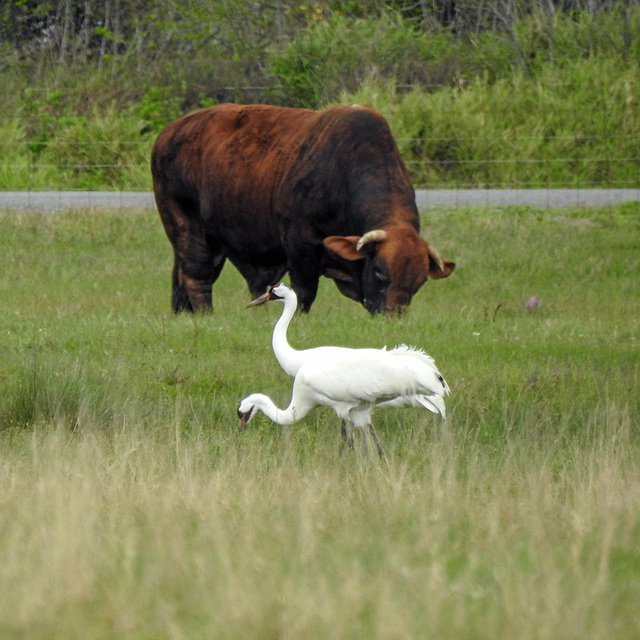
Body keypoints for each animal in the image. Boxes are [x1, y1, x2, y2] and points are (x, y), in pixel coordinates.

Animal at [151, 102, 456, 316]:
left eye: (419, 282)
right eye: (380, 271)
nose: (391, 316)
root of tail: (170, 132)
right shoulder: (300, 245)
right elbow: (304, 291)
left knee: (182, 277)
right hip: (186, 227)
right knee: (197, 276)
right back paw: (206, 315)